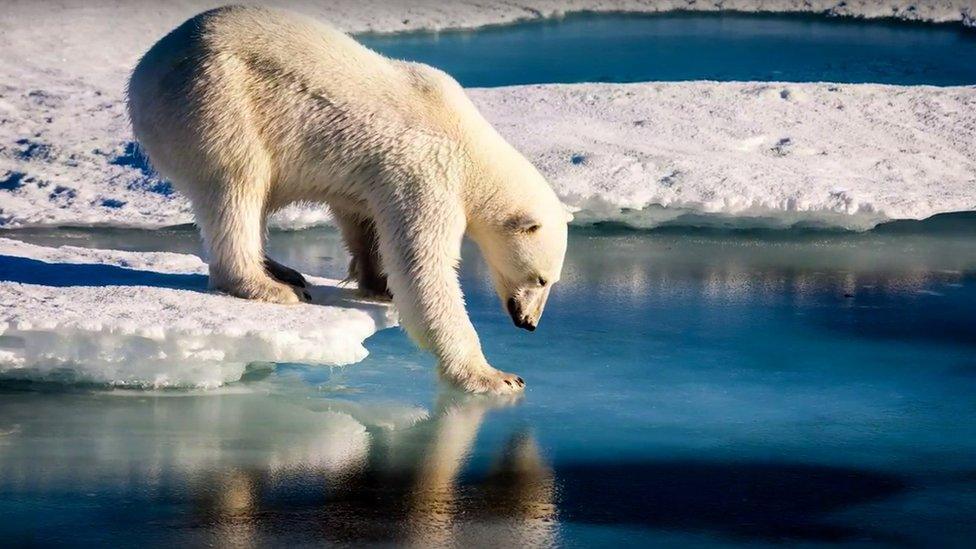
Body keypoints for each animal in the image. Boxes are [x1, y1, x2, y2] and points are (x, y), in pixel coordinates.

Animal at [130, 7, 572, 394]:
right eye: (541, 278)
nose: (529, 323)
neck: (469, 143)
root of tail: (143, 71)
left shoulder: (376, 175)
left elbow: (363, 218)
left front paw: (378, 283)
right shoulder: (428, 172)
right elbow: (424, 267)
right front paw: (495, 376)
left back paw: (282, 270)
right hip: (216, 100)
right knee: (237, 184)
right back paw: (269, 286)